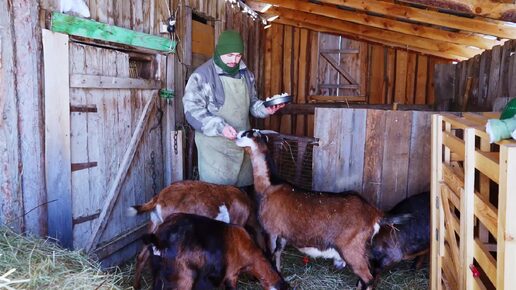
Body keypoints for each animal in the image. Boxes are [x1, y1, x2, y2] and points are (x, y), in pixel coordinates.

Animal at [235, 130, 408, 290]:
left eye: (248, 134)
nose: (235, 135)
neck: (270, 184)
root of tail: (374, 213)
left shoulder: (271, 230)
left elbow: (271, 256)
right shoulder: (283, 234)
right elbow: (278, 255)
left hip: (352, 249)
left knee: (368, 278)